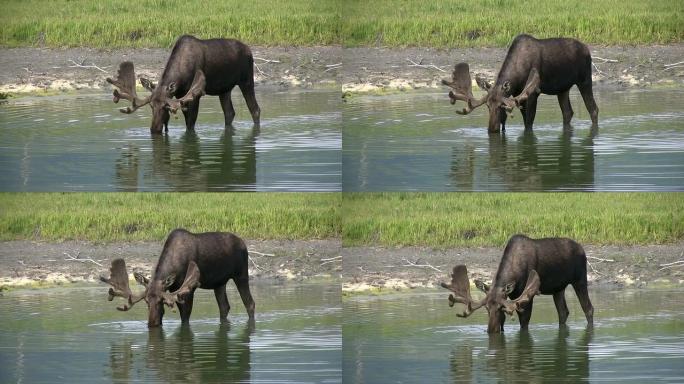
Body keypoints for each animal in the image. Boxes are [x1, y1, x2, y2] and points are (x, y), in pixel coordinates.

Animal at [98, 228, 254, 328]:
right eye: (146, 301)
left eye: (161, 302)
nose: (151, 324)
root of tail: (244, 244)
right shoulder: (173, 289)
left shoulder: (188, 288)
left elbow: (185, 316)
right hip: (219, 283)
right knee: (224, 307)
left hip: (241, 274)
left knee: (250, 303)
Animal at [108, 35, 260, 134]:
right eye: (151, 106)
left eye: (166, 107)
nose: (154, 130)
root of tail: (249, 50)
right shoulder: (180, 95)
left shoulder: (195, 94)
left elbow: (190, 123)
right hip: (224, 89)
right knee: (229, 113)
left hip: (246, 80)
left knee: (255, 109)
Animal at [444, 34, 600, 134]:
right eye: (487, 106)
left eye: (501, 106)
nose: (492, 130)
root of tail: (587, 50)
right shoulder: (516, 94)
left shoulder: (533, 93)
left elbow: (528, 123)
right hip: (562, 89)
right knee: (568, 112)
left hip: (585, 80)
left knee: (593, 109)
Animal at [444, 234, 592, 332]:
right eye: (486, 308)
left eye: (500, 308)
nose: (490, 331)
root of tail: (582, 249)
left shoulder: (526, 294)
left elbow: (524, 322)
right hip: (558, 288)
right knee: (563, 312)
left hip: (580, 280)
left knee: (588, 308)